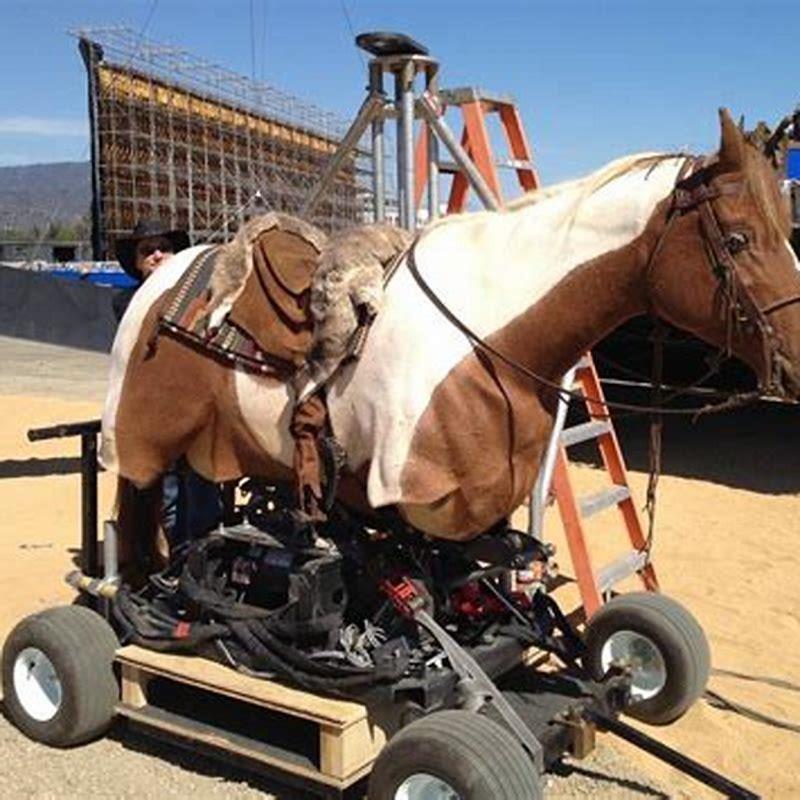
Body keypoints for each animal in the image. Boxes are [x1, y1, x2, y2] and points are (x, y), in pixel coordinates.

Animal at [101, 109, 800, 561]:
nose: (795, 360)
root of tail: (165, 275)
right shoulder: (417, 498)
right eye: (739, 240)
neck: (493, 337)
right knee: (134, 515)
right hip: (138, 443)